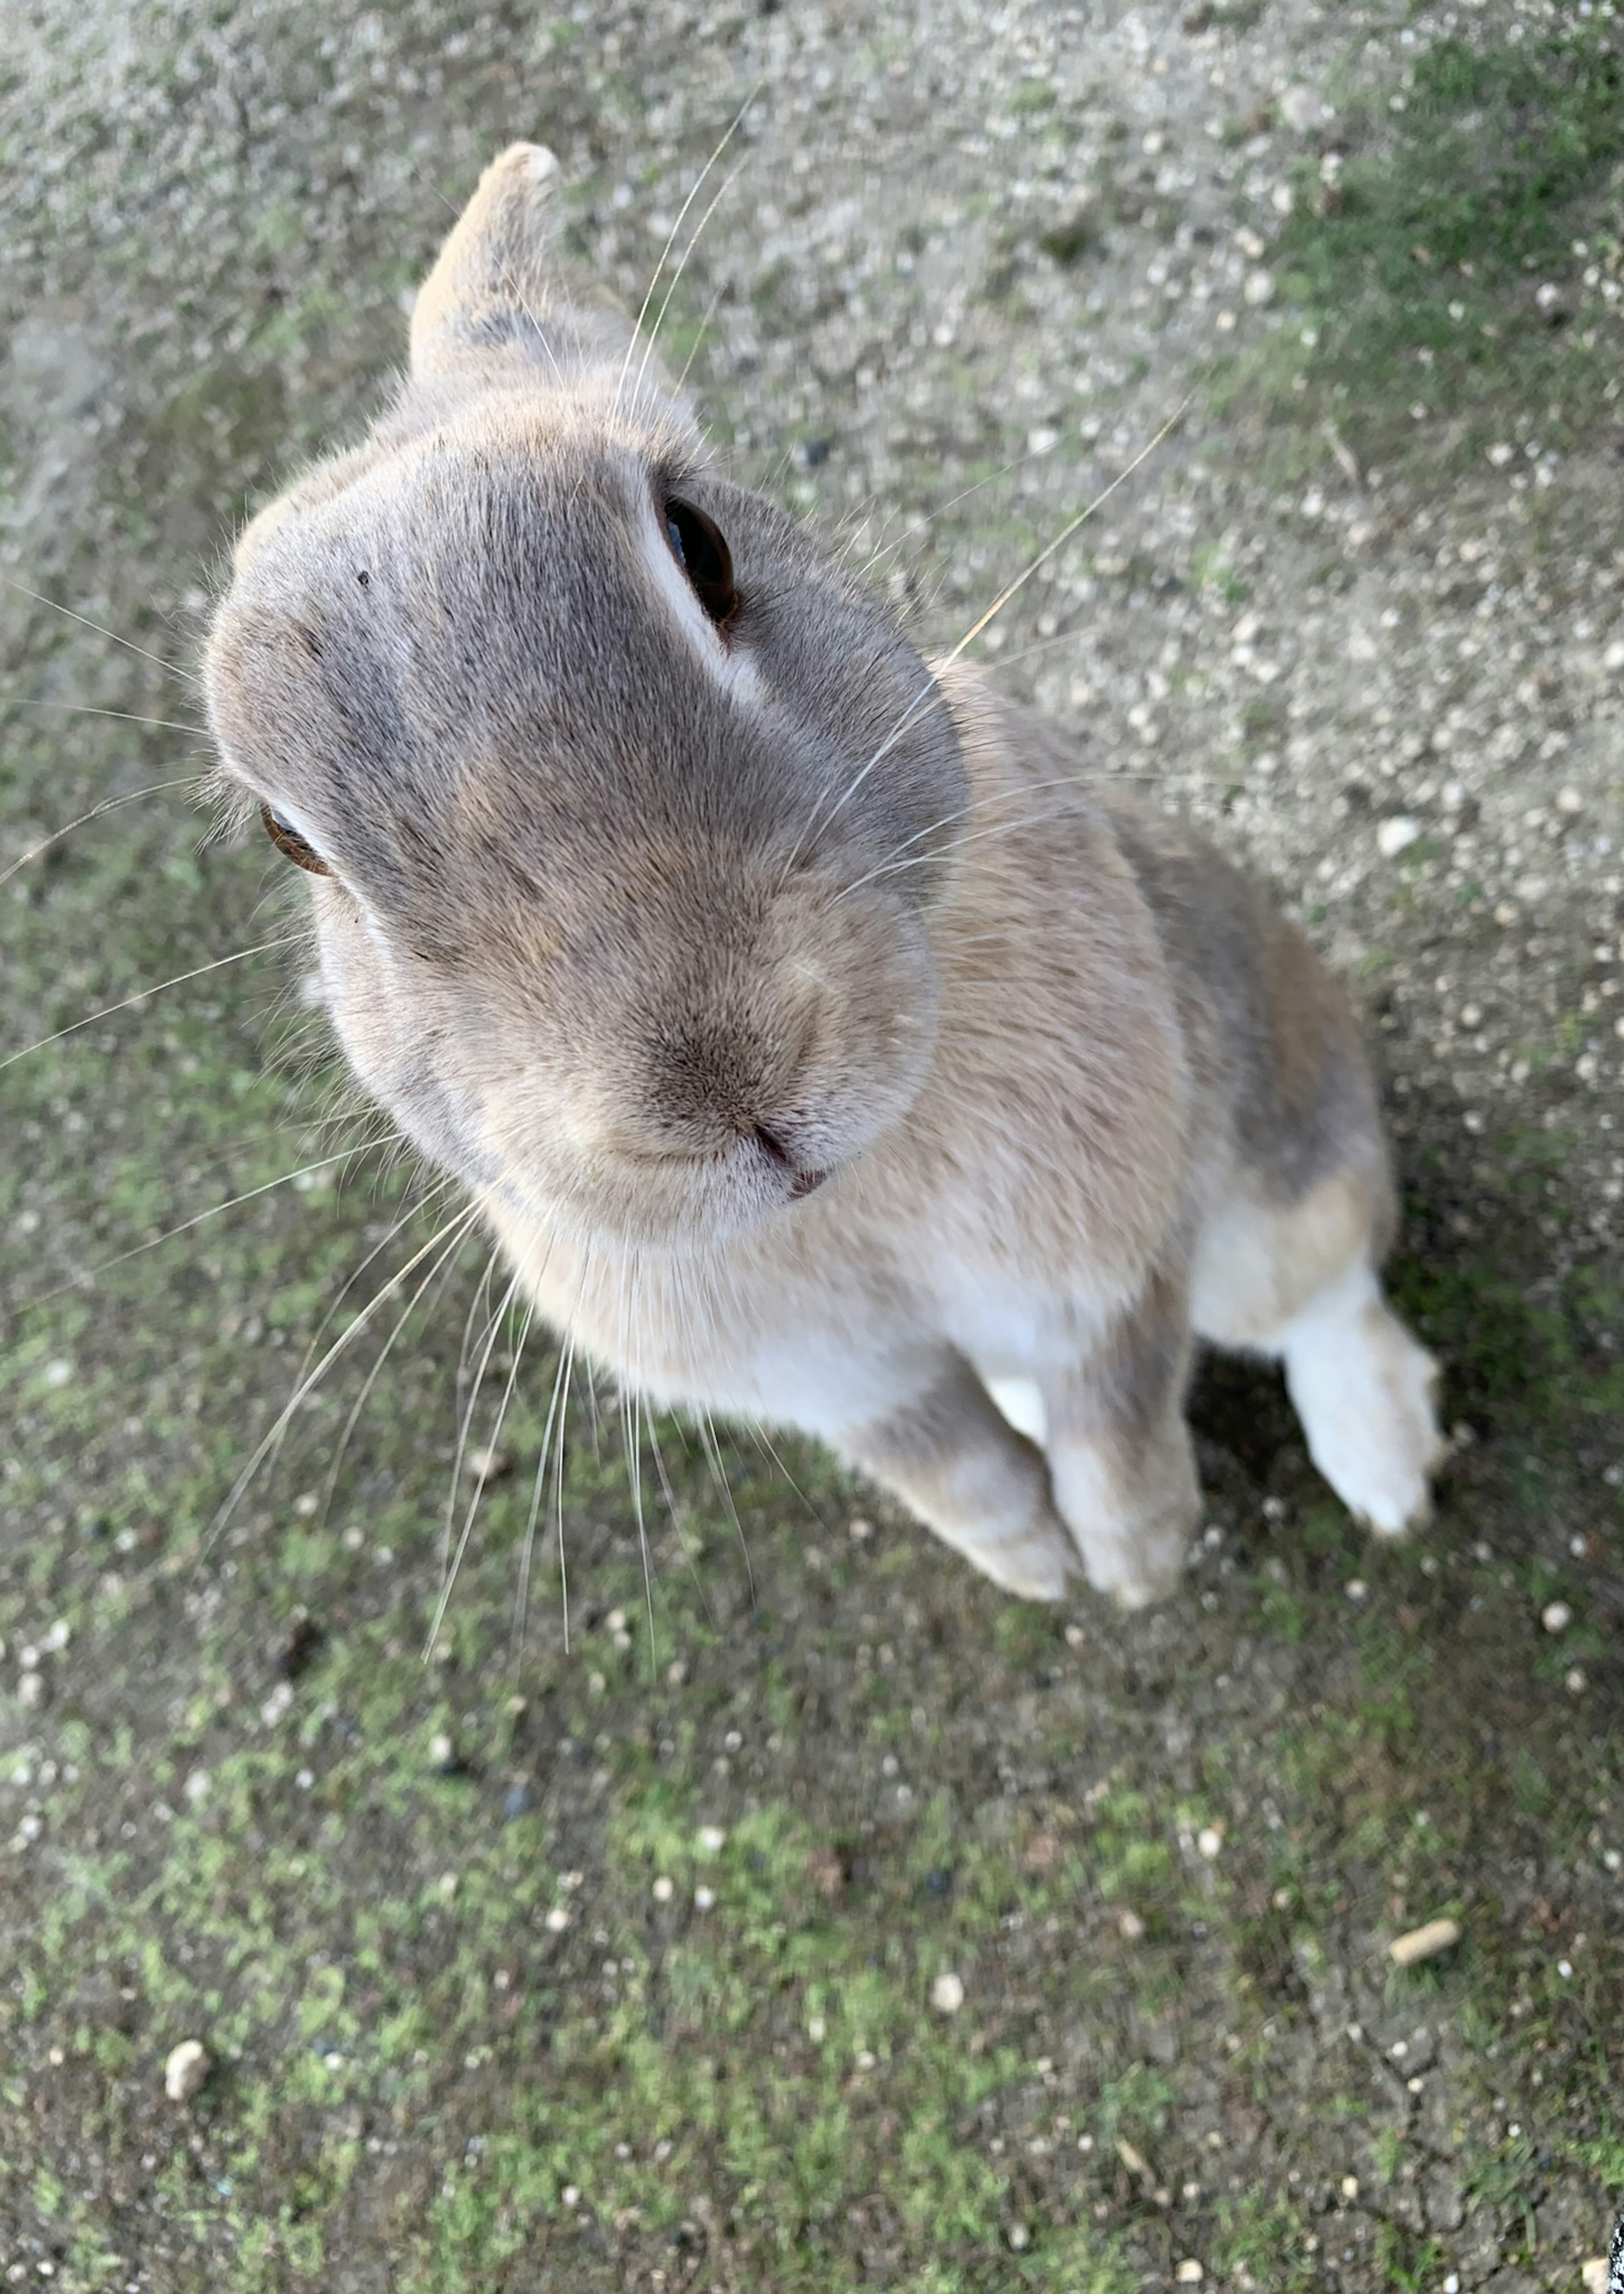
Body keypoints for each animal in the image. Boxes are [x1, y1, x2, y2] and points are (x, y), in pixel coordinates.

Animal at [206, 148, 1449, 1615]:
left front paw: (1134, 1562)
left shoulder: (1104, 1259)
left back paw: (1386, 1469)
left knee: (1325, 1289)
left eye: (698, 541)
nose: (722, 1085)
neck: (853, 1185)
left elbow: (1121, 1403)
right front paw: (1036, 1567)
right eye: (288, 839)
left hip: (1277, 1161)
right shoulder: (844, 1384)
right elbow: (944, 1466)